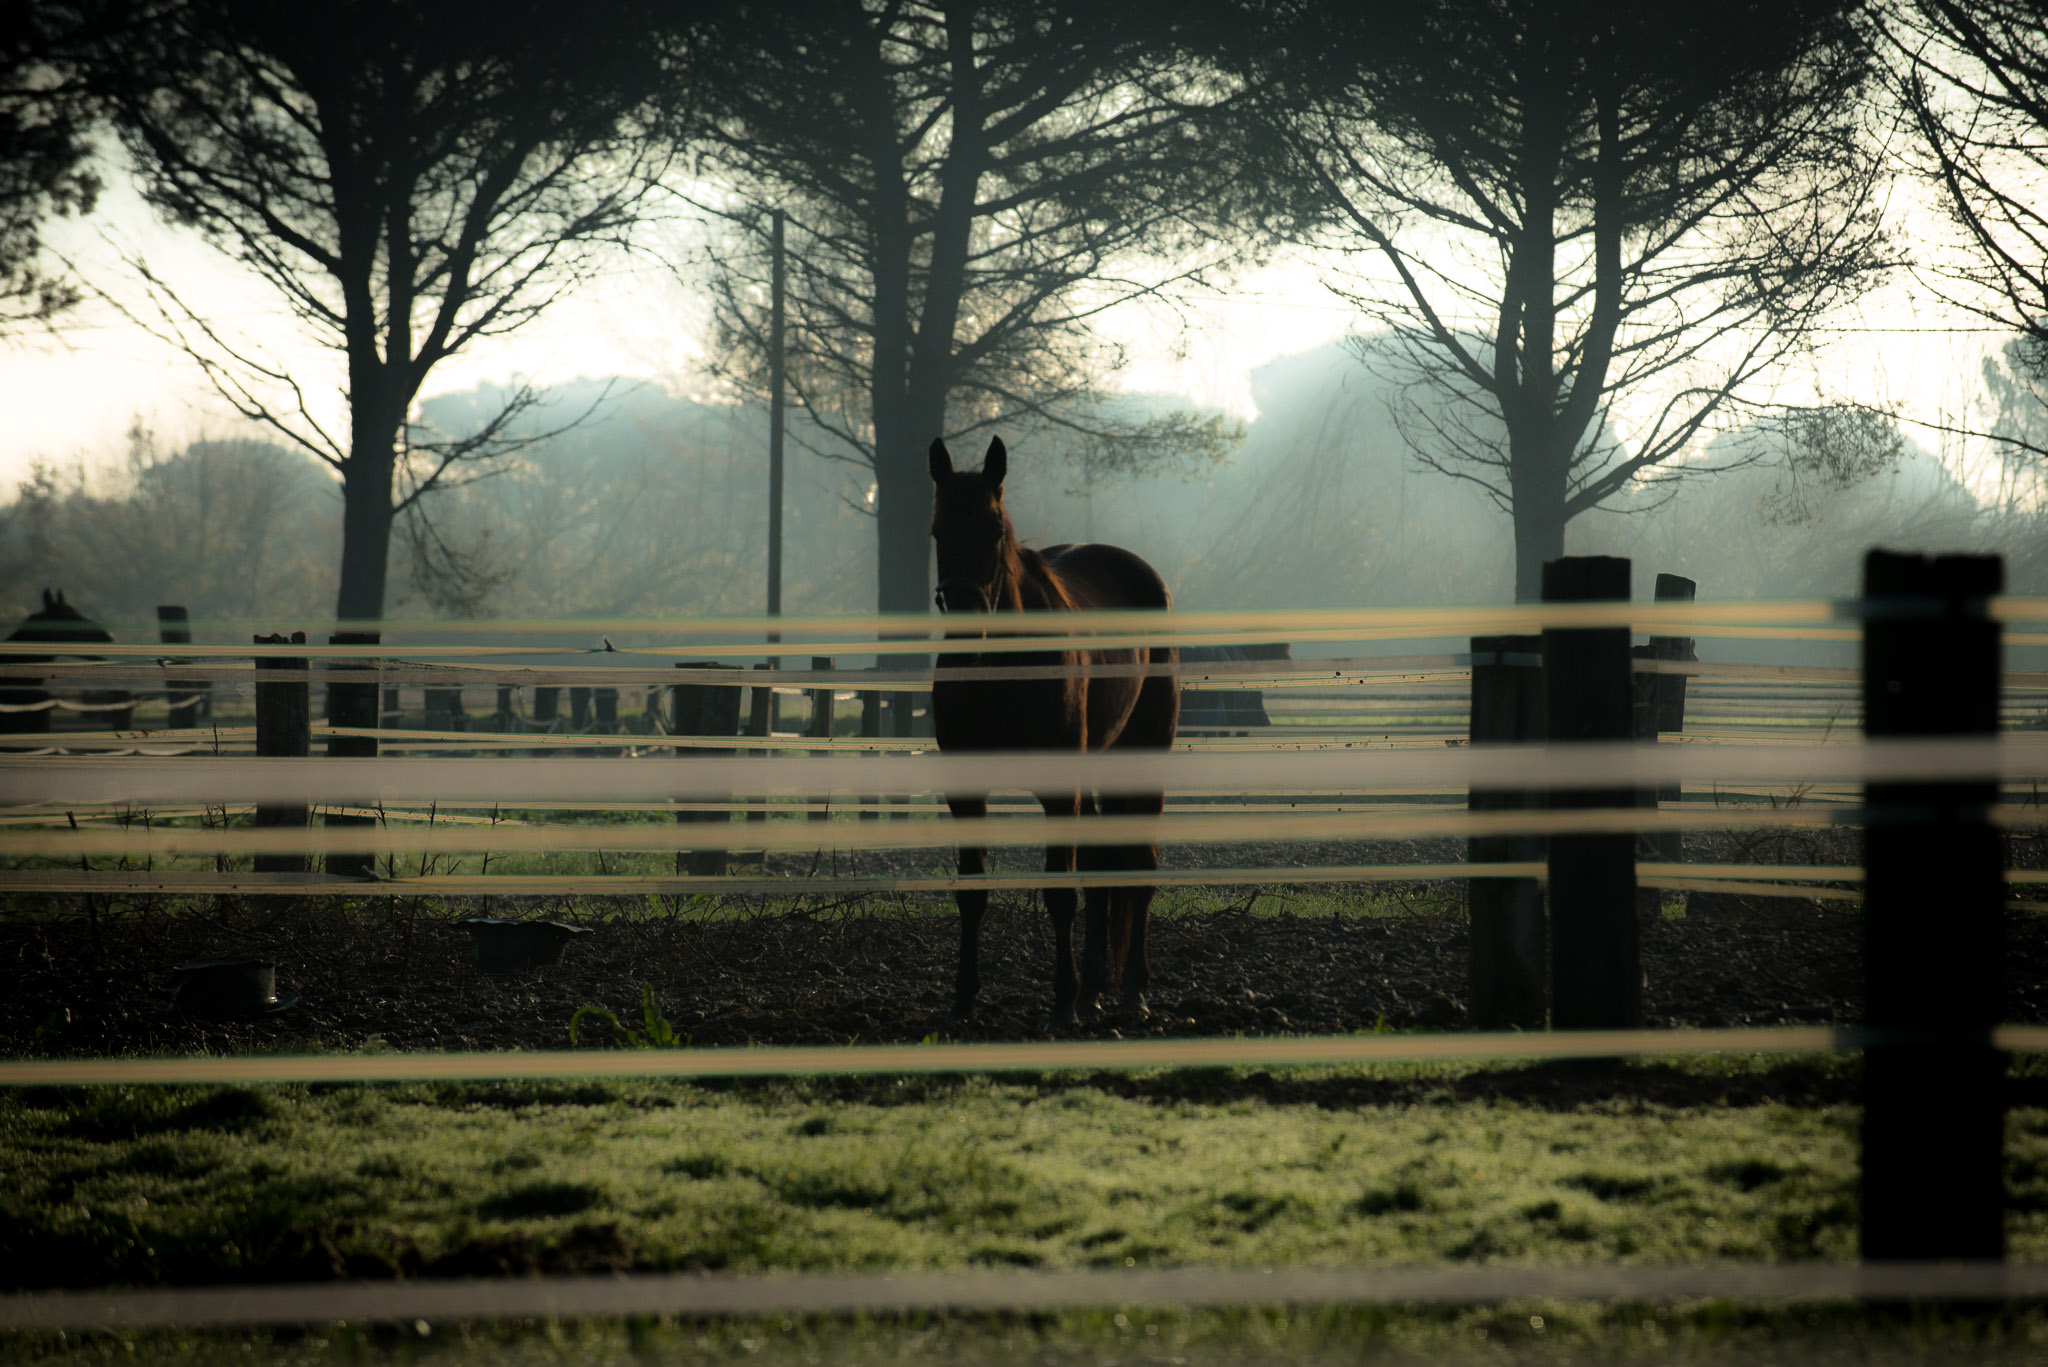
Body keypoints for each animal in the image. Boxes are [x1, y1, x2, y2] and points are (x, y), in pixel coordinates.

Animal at [927, 435, 1179, 1026]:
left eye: (994, 529)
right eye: (937, 531)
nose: (966, 634)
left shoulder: (1061, 788)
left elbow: (1061, 891)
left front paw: (1062, 1004)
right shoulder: (966, 791)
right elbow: (972, 891)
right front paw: (964, 998)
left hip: (1145, 754)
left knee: (1139, 865)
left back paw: (1133, 991)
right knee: (1103, 864)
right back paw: (1096, 989)